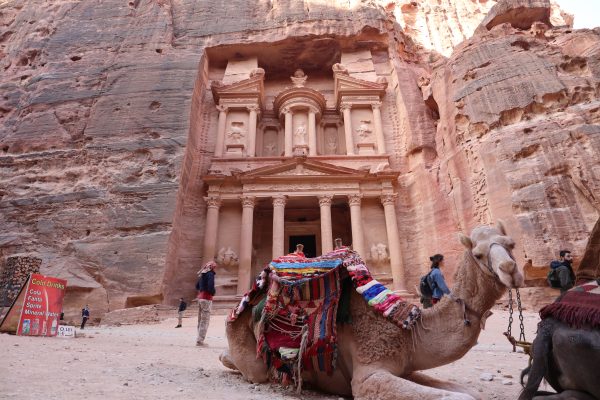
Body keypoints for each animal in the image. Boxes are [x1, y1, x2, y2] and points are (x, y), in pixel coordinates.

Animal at [221, 222, 524, 400]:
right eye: (478, 254)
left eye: (511, 244)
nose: (510, 270)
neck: (408, 330)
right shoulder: (369, 373)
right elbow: (458, 397)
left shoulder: (404, 368)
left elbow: (468, 392)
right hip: (241, 334)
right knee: (248, 367)